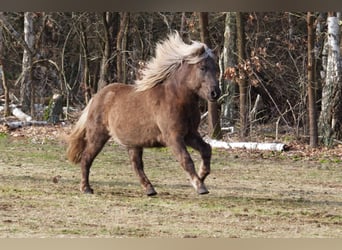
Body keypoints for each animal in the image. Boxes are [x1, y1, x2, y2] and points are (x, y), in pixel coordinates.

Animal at [67, 31, 220, 195]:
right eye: (203, 67)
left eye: (216, 68)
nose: (215, 93)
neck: (176, 99)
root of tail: (96, 97)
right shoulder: (173, 137)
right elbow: (186, 159)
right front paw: (200, 186)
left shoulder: (190, 134)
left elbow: (206, 149)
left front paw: (202, 176)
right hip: (98, 136)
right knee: (86, 158)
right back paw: (86, 188)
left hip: (133, 143)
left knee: (136, 166)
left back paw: (149, 189)